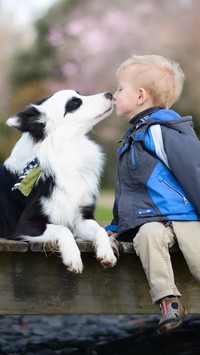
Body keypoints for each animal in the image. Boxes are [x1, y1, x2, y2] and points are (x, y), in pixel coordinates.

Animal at [0, 89, 116, 272]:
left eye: (80, 94)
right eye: (74, 103)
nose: (110, 94)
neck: (66, 148)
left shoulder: (81, 217)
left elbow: (100, 229)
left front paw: (106, 253)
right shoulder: (25, 224)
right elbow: (63, 229)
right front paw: (73, 258)